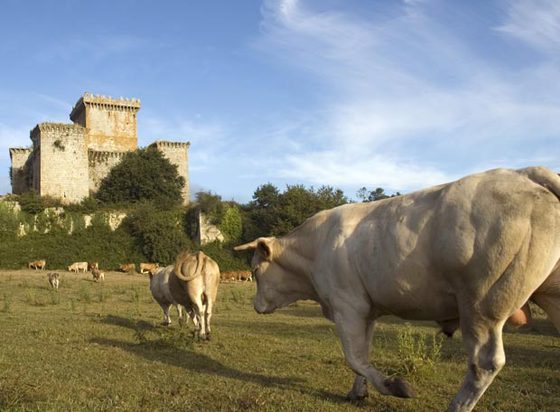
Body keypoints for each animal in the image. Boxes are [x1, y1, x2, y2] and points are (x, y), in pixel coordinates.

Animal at [234, 167, 560, 412]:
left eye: (255, 270)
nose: (256, 306)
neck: (314, 249)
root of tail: (522, 173)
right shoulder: (367, 311)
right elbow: (362, 355)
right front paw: (358, 392)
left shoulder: (347, 306)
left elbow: (354, 357)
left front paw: (395, 386)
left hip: (482, 304)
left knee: (484, 363)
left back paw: (456, 406)